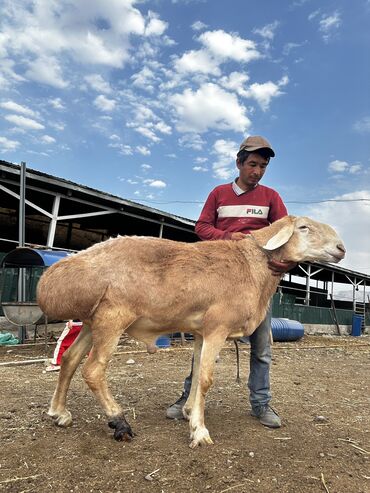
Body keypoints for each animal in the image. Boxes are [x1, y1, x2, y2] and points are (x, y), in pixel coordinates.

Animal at [36, 214, 346, 446]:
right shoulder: (217, 327)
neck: (252, 267)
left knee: (69, 359)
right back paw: (119, 421)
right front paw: (199, 430)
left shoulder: (201, 331)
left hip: (93, 321)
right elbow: (207, 379)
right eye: (304, 227)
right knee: (93, 370)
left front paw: (188, 412)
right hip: (113, 317)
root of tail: (53, 277)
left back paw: (59, 413)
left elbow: (197, 373)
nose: (342, 247)